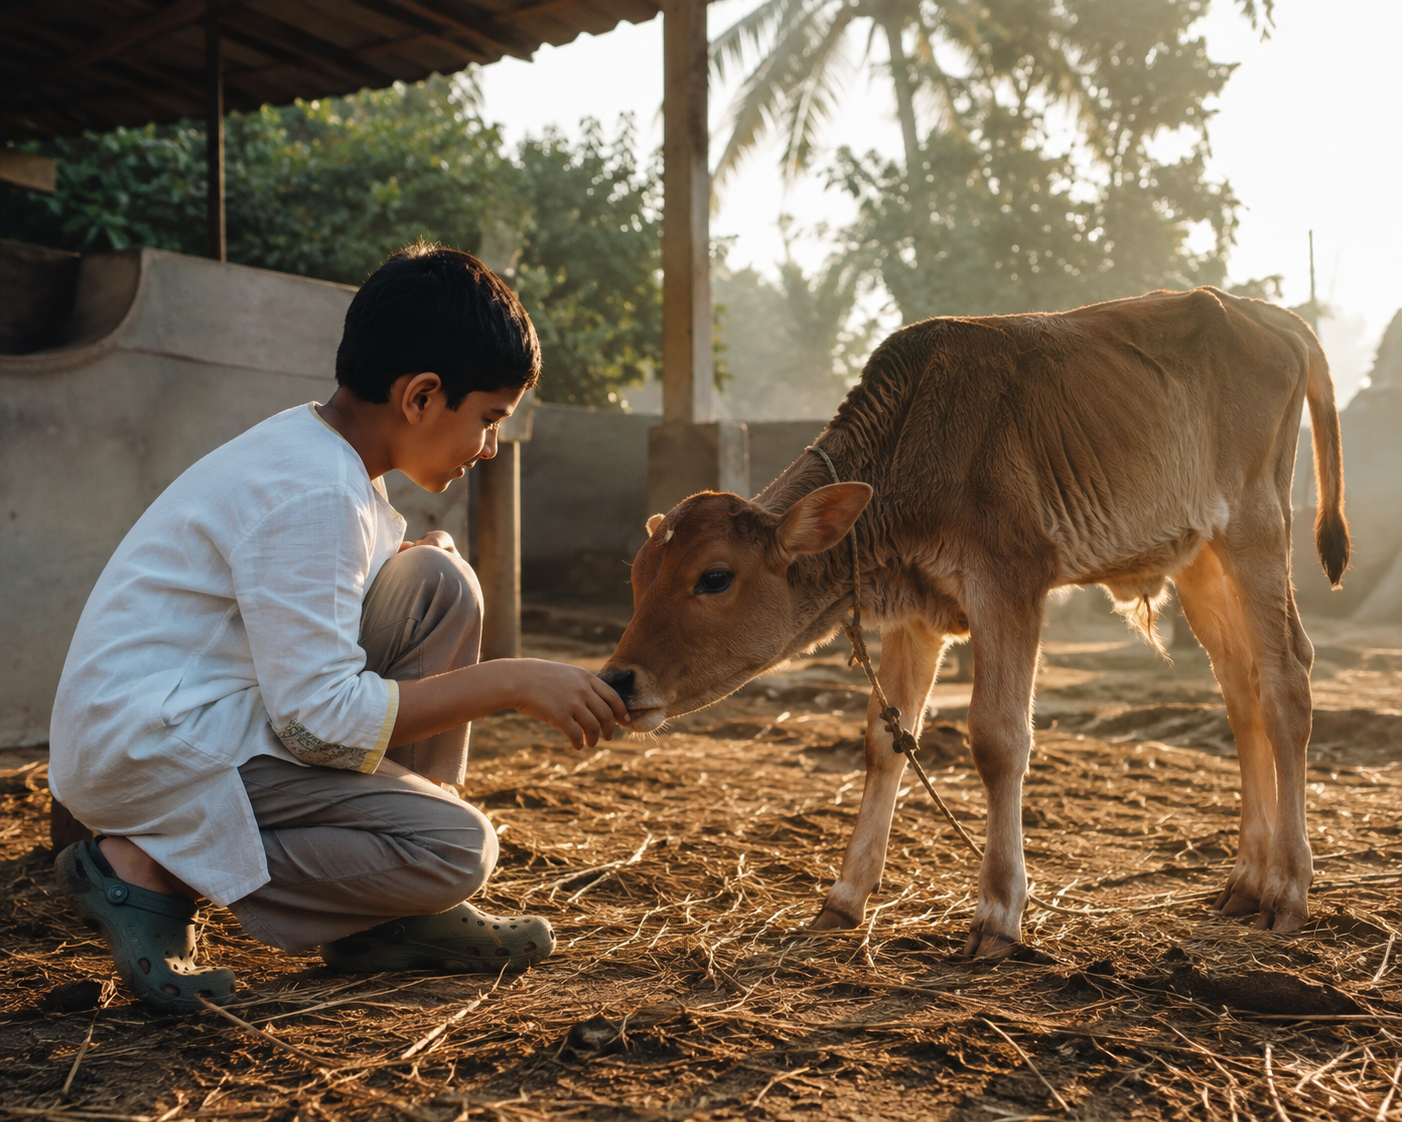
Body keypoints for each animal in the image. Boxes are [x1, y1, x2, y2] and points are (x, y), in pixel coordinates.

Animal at [599, 286, 1348, 957]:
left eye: (714, 577)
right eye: (637, 577)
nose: (617, 680)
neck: (909, 445)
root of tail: (1271, 315)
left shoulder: (1009, 582)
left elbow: (997, 739)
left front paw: (999, 910)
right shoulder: (916, 613)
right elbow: (883, 742)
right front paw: (845, 897)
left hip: (1256, 527)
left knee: (1287, 681)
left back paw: (1287, 887)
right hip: (1198, 558)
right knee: (1242, 690)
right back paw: (1246, 879)